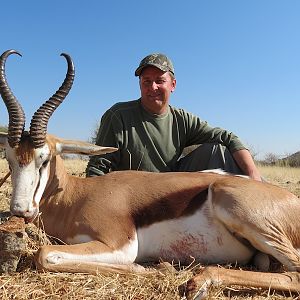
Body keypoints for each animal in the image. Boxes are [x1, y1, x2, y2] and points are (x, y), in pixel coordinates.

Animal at [0, 50, 300, 296]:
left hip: (238, 207)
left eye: (44, 159)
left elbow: (45, 254)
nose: (20, 210)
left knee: (294, 274)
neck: (75, 198)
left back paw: (198, 282)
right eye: (10, 159)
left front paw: (154, 269)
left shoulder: (119, 244)